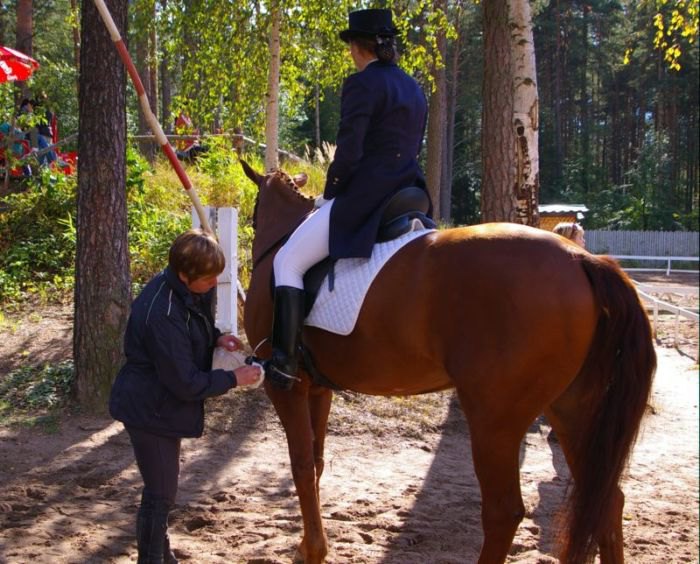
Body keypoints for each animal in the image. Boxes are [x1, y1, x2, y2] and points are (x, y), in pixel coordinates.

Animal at [239, 160, 656, 564]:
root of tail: (582, 258)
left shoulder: (286, 388)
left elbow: (300, 465)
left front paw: (312, 551)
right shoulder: (317, 388)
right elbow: (317, 461)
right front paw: (308, 546)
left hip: (495, 420)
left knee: (504, 511)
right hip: (572, 409)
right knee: (606, 497)